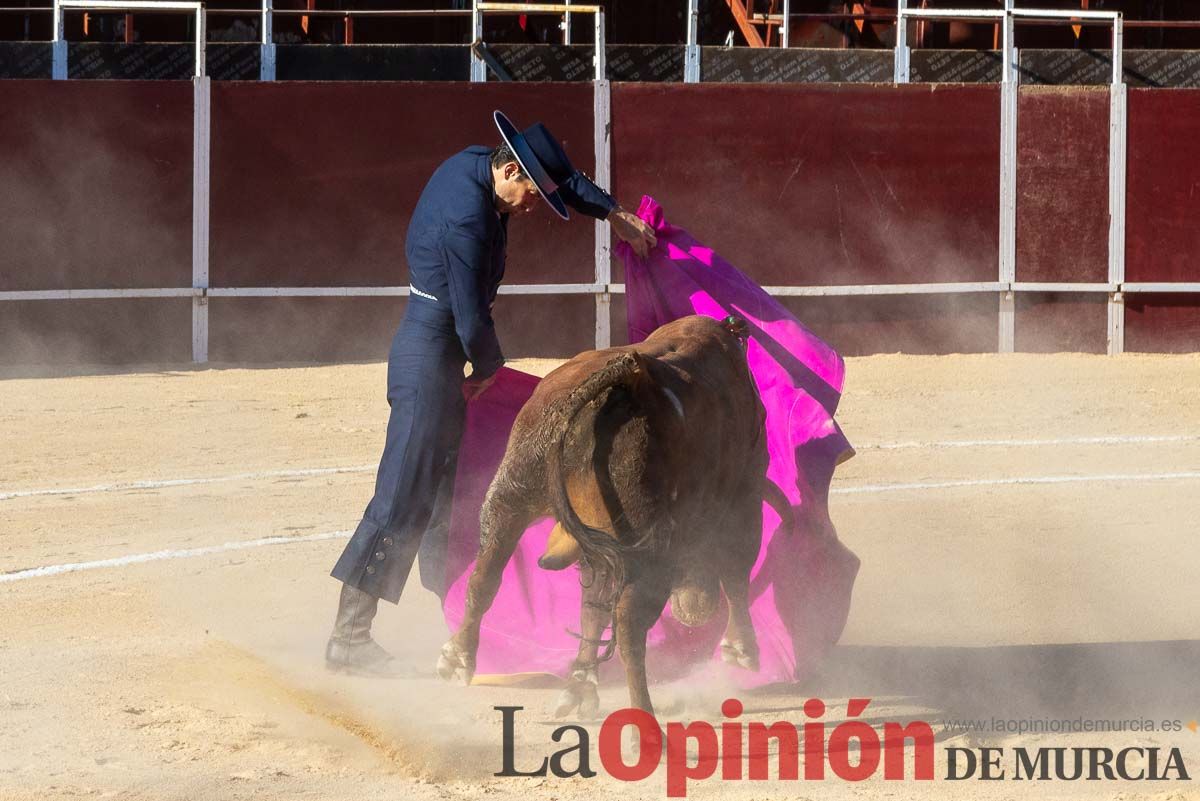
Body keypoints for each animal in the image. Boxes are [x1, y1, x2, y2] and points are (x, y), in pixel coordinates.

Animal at [439, 314, 768, 719]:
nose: (695, 610)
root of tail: (629, 377)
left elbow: (591, 608)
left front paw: (581, 683)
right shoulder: (746, 493)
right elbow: (738, 569)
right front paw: (742, 650)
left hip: (513, 491)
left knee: (485, 575)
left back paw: (460, 657)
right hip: (649, 546)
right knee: (629, 623)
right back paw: (644, 719)